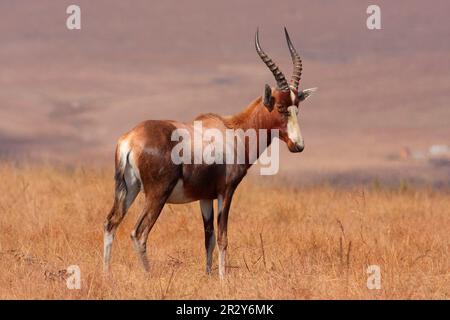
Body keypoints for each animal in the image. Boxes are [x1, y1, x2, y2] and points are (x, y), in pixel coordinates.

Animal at [104, 27, 316, 278]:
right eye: (281, 107)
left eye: (297, 108)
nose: (298, 145)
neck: (232, 130)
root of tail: (131, 139)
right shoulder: (226, 191)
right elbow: (223, 236)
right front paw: (224, 279)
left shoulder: (204, 197)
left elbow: (209, 238)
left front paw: (208, 275)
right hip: (156, 195)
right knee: (139, 233)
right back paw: (149, 275)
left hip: (129, 189)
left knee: (110, 223)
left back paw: (106, 274)